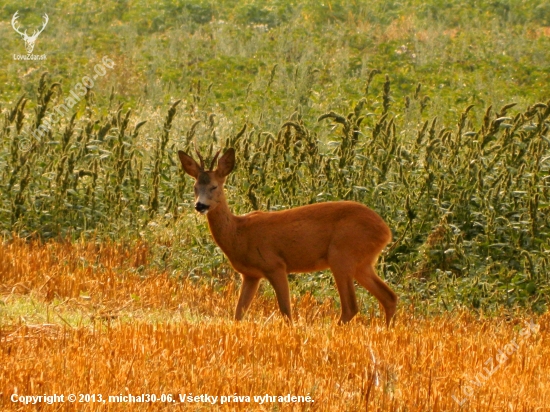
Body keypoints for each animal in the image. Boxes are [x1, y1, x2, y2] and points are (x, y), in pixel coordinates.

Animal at [179, 147, 398, 326]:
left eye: (214, 186)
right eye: (195, 187)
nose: (200, 205)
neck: (239, 233)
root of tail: (386, 231)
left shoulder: (275, 264)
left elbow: (285, 310)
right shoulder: (250, 274)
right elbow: (238, 313)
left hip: (342, 255)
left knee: (351, 306)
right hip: (363, 263)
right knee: (389, 297)